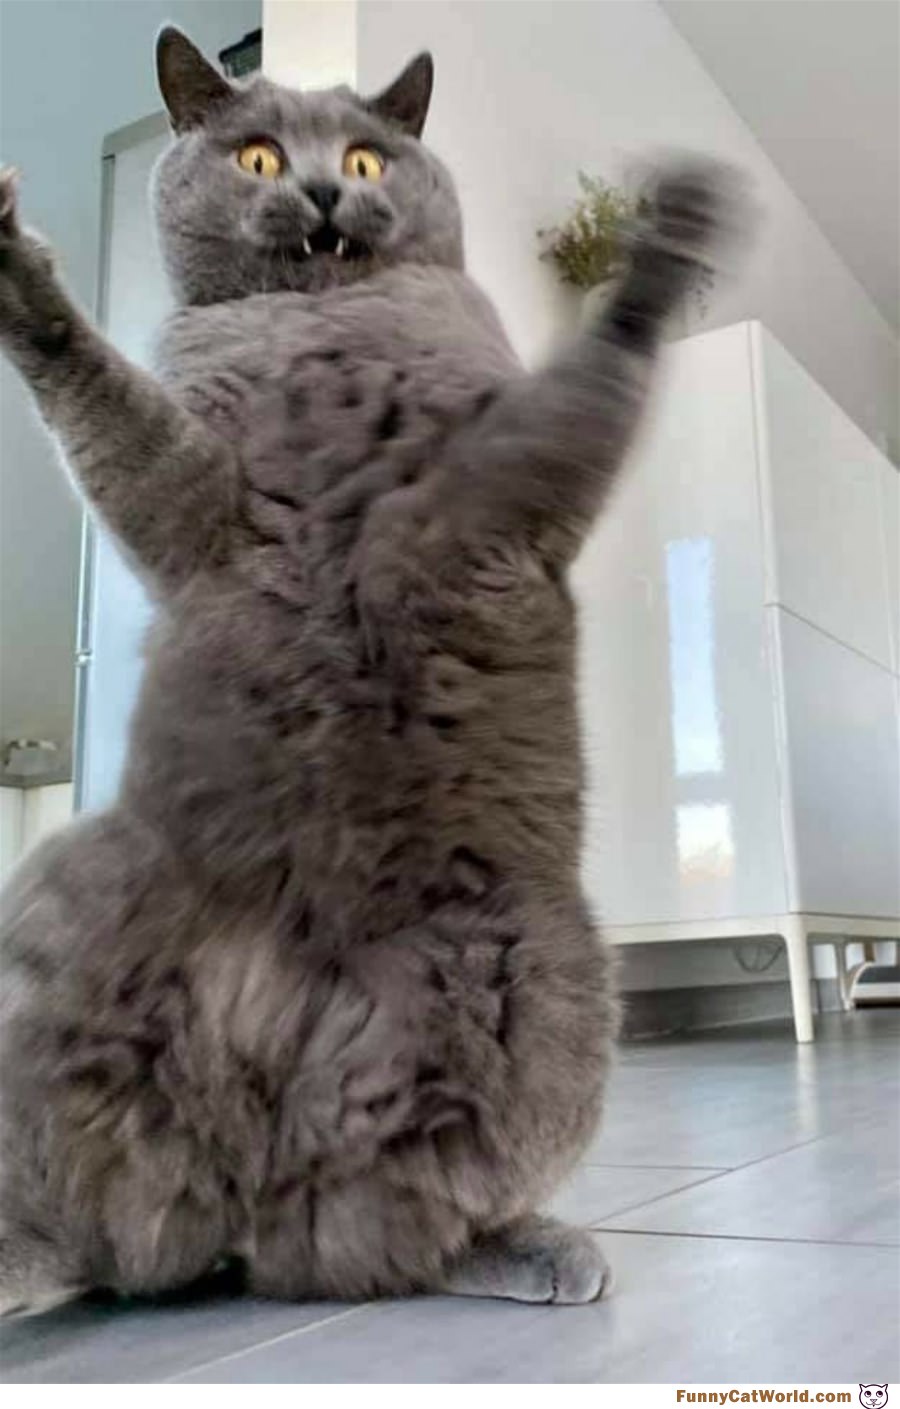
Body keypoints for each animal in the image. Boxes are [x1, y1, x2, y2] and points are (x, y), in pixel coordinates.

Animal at [0, 27, 748, 1315]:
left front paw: (673, 234)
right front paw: (16, 277)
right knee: (130, 1234)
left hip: (548, 968)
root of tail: (240, 1177)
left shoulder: (486, 483)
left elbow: (593, 378)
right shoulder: (193, 498)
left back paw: (525, 1245)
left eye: (362, 155)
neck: (320, 333)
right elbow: (108, 403)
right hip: (50, 918)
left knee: (374, 1229)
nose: (319, 191)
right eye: (257, 154)